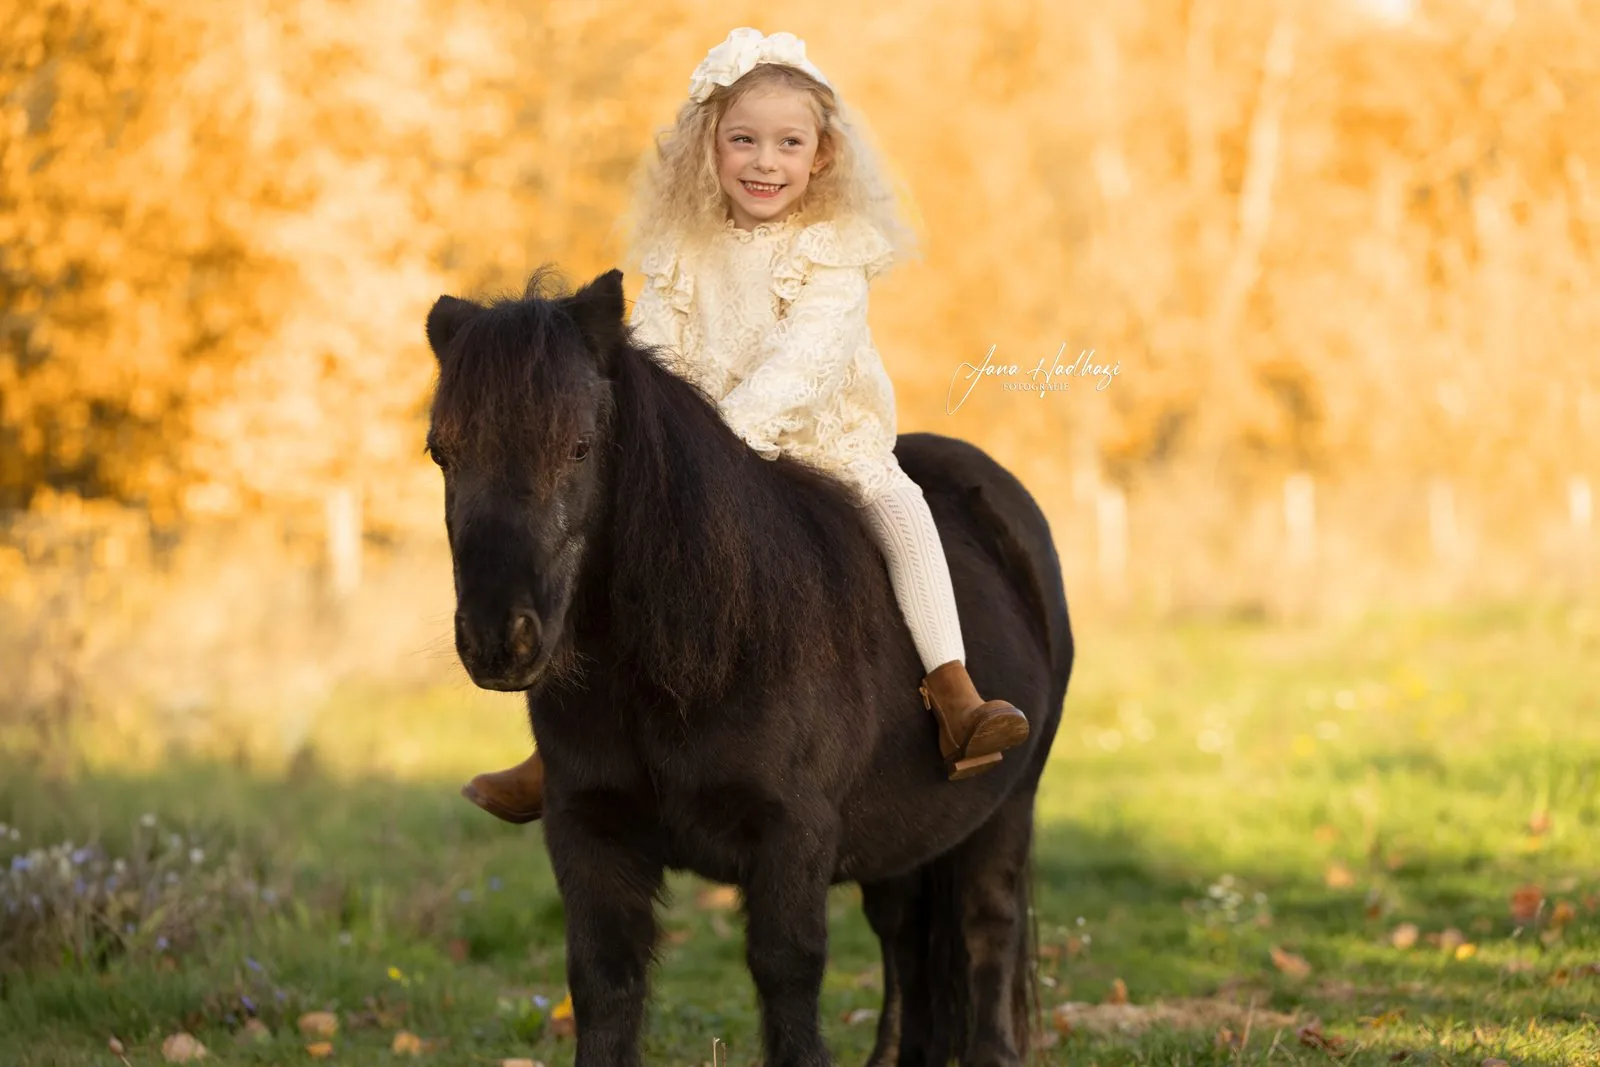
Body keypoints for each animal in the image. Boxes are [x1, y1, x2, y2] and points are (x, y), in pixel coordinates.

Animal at [423, 266, 1074, 1067]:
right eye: (442, 453)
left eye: (578, 447)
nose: (498, 637)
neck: (693, 662)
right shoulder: (588, 831)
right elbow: (604, 982)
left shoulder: (793, 838)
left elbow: (786, 978)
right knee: (905, 942)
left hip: (1007, 806)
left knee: (987, 930)